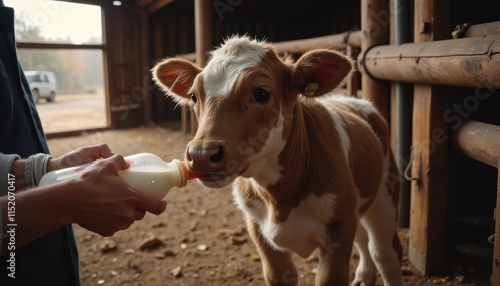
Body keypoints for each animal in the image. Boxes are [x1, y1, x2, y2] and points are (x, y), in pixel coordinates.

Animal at [152, 35, 402, 286]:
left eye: (261, 94)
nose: (201, 154)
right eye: (194, 96)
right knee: (363, 240)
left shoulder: (340, 225)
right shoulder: (258, 230)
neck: (280, 200)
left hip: (385, 195)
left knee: (384, 252)